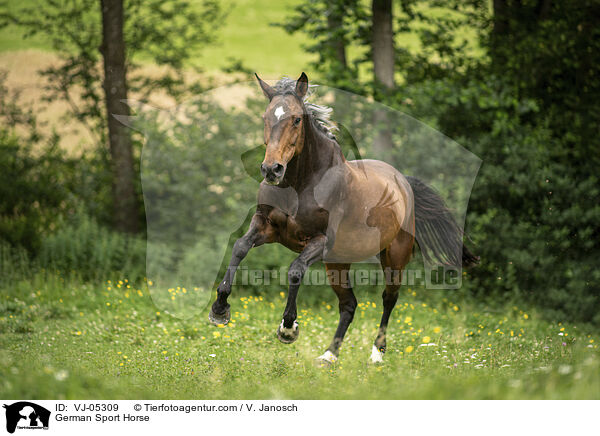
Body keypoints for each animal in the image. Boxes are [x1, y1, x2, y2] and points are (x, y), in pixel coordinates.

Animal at [209, 72, 476, 364]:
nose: (272, 170)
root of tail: (403, 182)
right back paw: (328, 356)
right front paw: (219, 309)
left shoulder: (320, 240)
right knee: (349, 305)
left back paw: (376, 354)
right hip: (337, 262)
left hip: (394, 255)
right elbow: (240, 247)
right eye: (265, 117)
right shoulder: (266, 227)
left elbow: (295, 270)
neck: (300, 184)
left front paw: (288, 328)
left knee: (389, 298)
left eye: (297, 119)